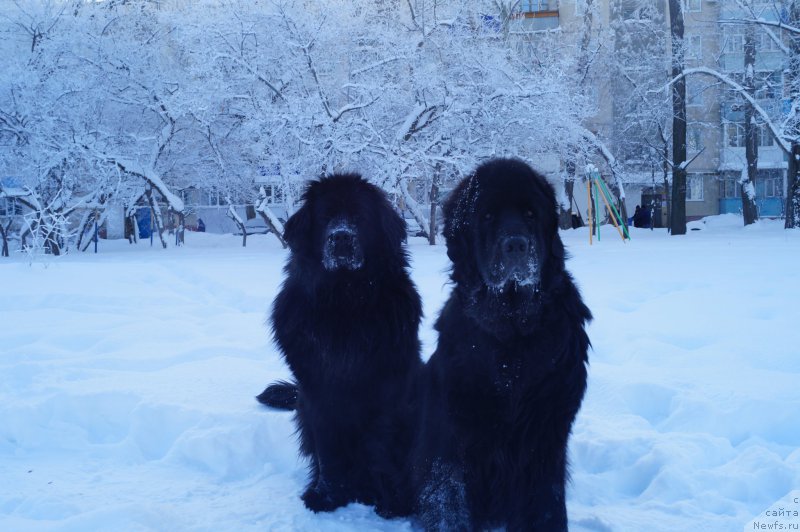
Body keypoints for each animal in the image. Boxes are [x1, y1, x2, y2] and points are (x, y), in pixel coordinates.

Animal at [260, 174, 424, 516]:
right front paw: (326, 496)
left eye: (359, 217)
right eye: (325, 218)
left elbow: (383, 446)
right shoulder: (318, 392)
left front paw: (392, 502)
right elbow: (328, 451)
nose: (341, 238)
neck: (345, 301)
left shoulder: (388, 391)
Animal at [412, 159, 592, 532]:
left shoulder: (544, 432)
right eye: (488, 216)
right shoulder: (452, 433)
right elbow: (448, 497)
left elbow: (545, 504)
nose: (516, 245)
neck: (511, 333)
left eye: (530, 213)